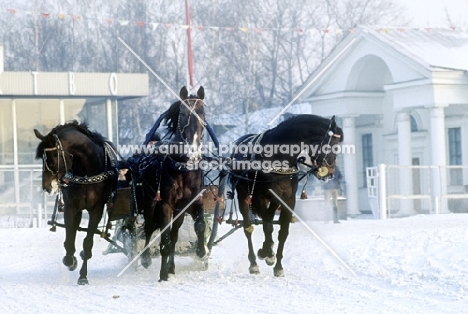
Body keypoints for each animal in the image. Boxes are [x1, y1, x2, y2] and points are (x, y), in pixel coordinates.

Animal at [35, 119, 120, 284]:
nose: (47, 187)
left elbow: (88, 242)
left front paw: (83, 275)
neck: (86, 171)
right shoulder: (71, 207)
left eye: (52, 161)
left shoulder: (96, 209)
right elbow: (69, 239)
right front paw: (70, 260)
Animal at [130, 86, 207, 282]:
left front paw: (201, 251)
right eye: (183, 113)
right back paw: (146, 258)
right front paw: (163, 273)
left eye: (202, 112)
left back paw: (171, 266)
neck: (183, 167)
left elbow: (199, 225)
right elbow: (163, 238)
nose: (193, 150)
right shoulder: (165, 204)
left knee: (174, 233)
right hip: (149, 202)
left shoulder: (193, 200)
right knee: (149, 227)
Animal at [228, 114, 342, 276]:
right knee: (248, 228)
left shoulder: (288, 199)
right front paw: (266, 253)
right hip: (244, 196)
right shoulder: (258, 197)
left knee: (268, 216)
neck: (278, 158)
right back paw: (254, 262)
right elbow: (268, 226)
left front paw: (277, 265)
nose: (329, 173)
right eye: (329, 145)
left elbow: (282, 232)